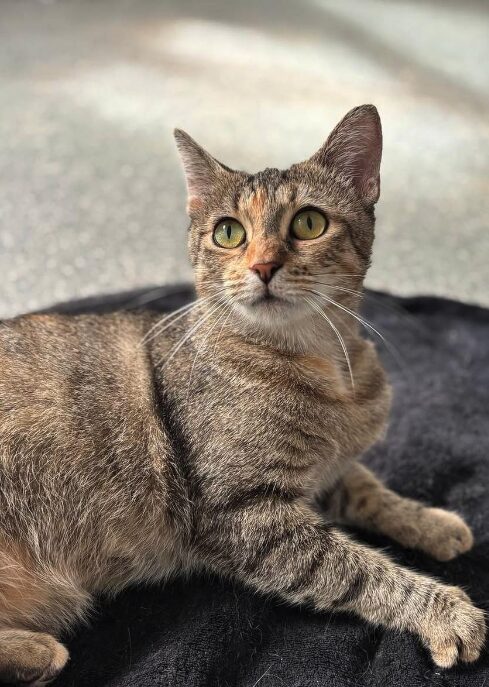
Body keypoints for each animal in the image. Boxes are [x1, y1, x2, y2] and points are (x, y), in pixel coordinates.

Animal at [0, 105, 482, 684]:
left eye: (309, 222)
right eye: (228, 233)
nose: (263, 266)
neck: (321, 363)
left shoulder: (327, 474)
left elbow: (371, 489)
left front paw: (429, 522)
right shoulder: (247, 515)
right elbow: (358, 569)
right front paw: (443, 611)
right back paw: (36, 652)